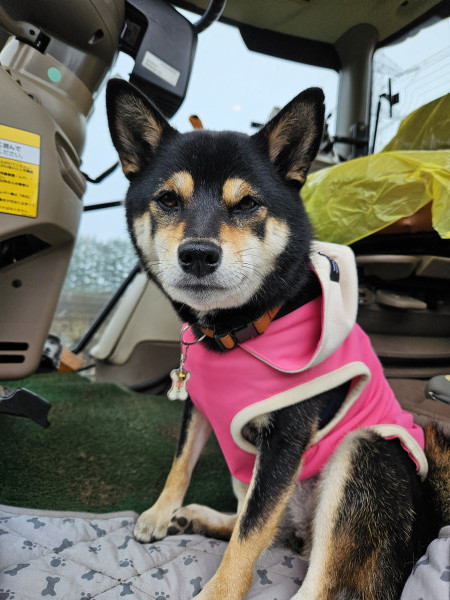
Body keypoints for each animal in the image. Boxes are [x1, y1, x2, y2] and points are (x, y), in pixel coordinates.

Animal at [106, 77, 450, 596]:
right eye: (167, 200)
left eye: (247, 203)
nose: (198, 254)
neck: (235, 331)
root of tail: (425, 528)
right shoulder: (200, 406)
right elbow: (183, 463)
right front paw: (162, 512)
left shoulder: (285, 442)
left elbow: (249, 538)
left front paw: (219, 591)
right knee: (271, 528)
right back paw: (196, 518)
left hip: (361, 452)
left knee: (312, 575)